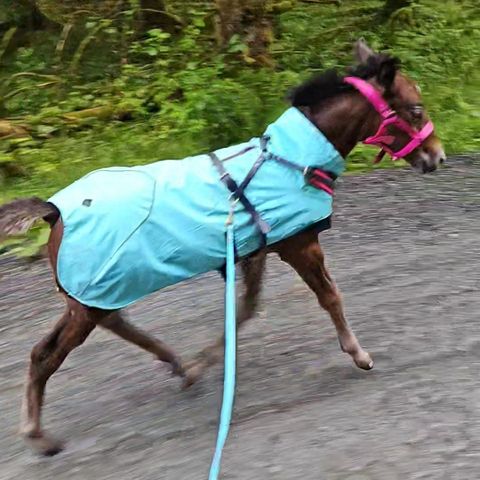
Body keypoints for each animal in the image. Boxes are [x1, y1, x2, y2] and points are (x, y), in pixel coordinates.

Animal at [0, 39, 446, 456]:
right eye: (416, 109)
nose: (437, 156)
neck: (292, 161)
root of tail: (54, 211)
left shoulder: (256, 250)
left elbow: (245, 309)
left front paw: (202, 363)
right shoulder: (299, 244)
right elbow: (329, 297)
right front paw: (358, 353)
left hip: (93, 295)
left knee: (111, 324)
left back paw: (176, 362)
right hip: (89, 298)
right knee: (45, 355)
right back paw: (37, 433)